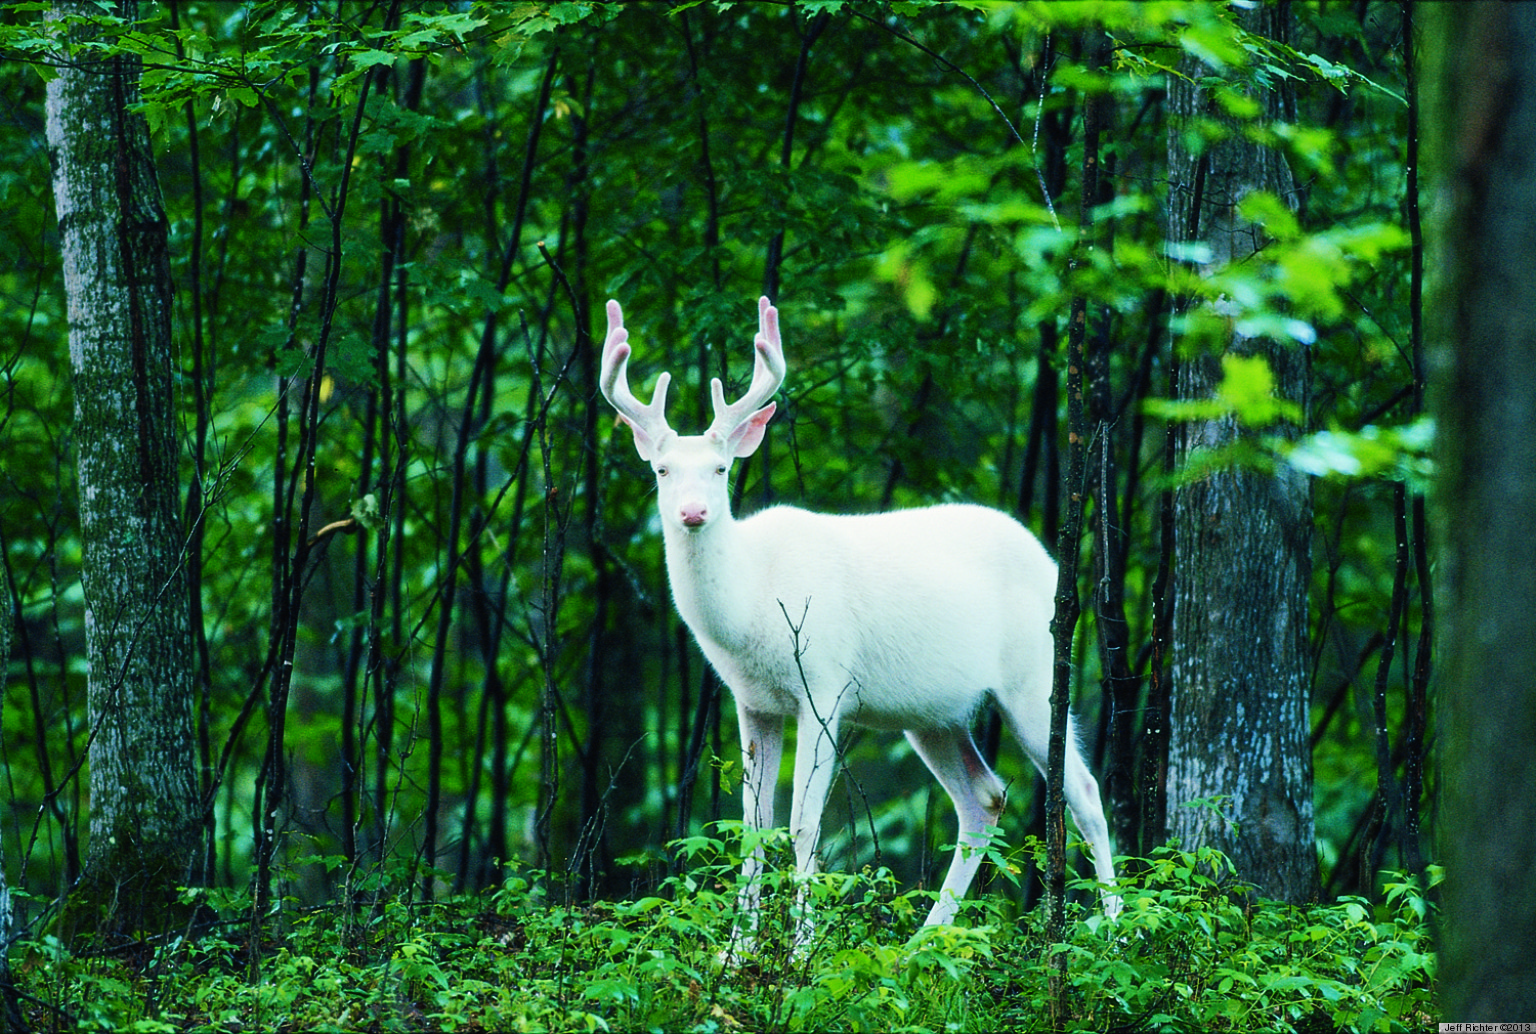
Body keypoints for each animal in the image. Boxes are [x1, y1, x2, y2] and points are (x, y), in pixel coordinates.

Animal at [599, 295, 1120, 938]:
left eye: (720, 469)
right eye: (662, 470)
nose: (693, 512)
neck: (751, 602)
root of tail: (1049, 561)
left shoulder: (825, 686)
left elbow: (803, 825)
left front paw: (797, 947)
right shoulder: (752, 702)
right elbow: (751, 828)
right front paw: (736, 948)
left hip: (1034, 677)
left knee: (1086, 791)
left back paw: (1117, 931)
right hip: (933, 713)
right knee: (985, 798)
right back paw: (925, 941)